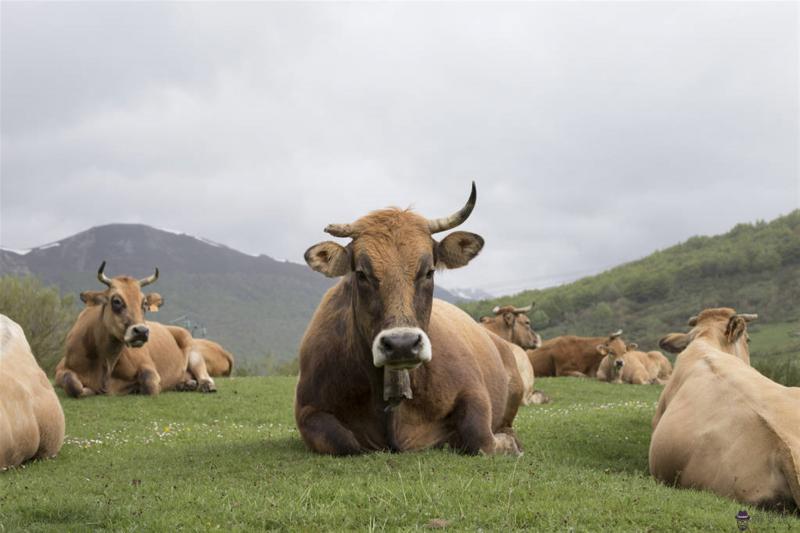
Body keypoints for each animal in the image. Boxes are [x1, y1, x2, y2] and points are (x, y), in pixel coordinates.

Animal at [53, 262, 217, 394]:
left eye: (144, 303)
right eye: (116, 301)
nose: (142, 331)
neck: (107, 362)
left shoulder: (148, 366)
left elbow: (150, 384)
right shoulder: (61, 370)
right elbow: (72, 384)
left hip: (193, 350)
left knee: (204, 374)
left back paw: (205, 385)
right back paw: (185, 384)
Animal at [294, 182, 524, 454]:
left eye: (429, 271)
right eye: (361, 274)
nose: (401, 344)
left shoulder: (474, 390)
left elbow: (479, 437)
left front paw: (507, 443)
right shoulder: (307, 409)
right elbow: (344, 441)